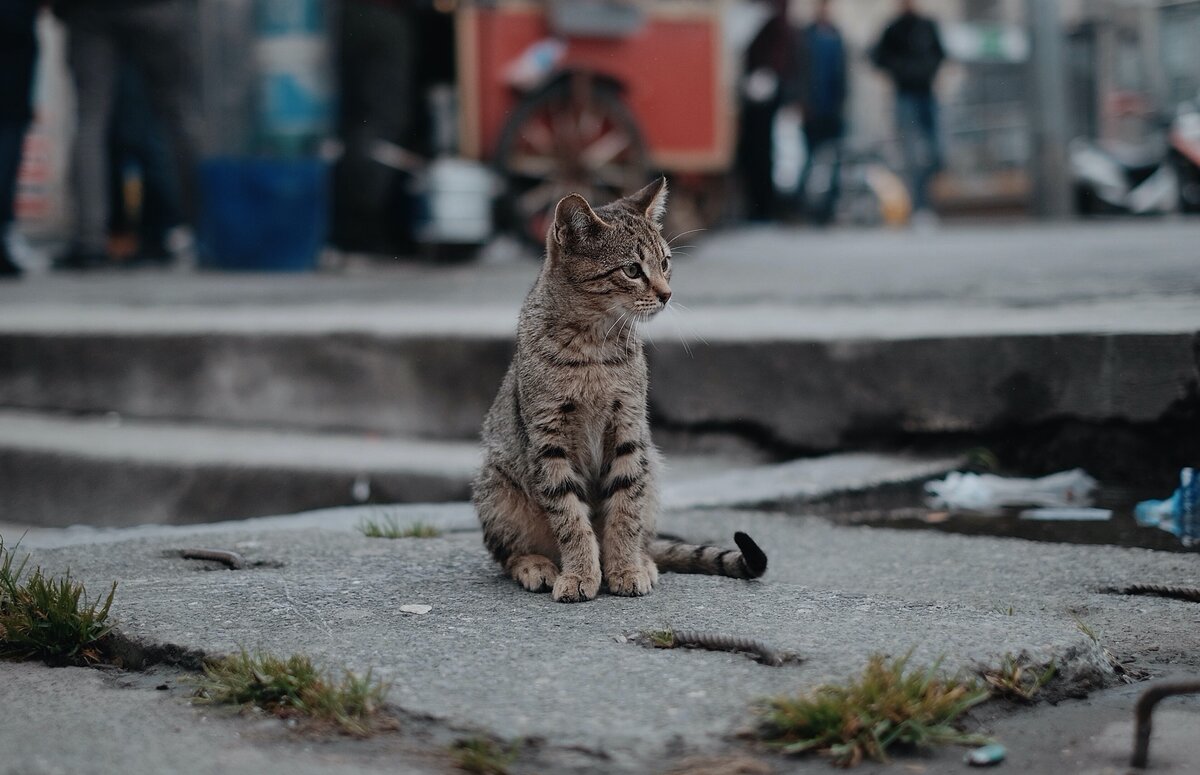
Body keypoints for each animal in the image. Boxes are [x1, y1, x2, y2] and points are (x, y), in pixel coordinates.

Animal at [470, 178, 763, 604]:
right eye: (632, 270)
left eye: (666, 263)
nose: (667, 294)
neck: (594, 346)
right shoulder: (549, 441)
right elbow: (570, 518)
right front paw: (579, 573)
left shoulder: (628, 430)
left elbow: (625, 511)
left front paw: (624, 568)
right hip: (496, 486)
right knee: (507, 552)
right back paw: (536, 565)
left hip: (652, 467)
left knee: (644, 531)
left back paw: (641, 560)